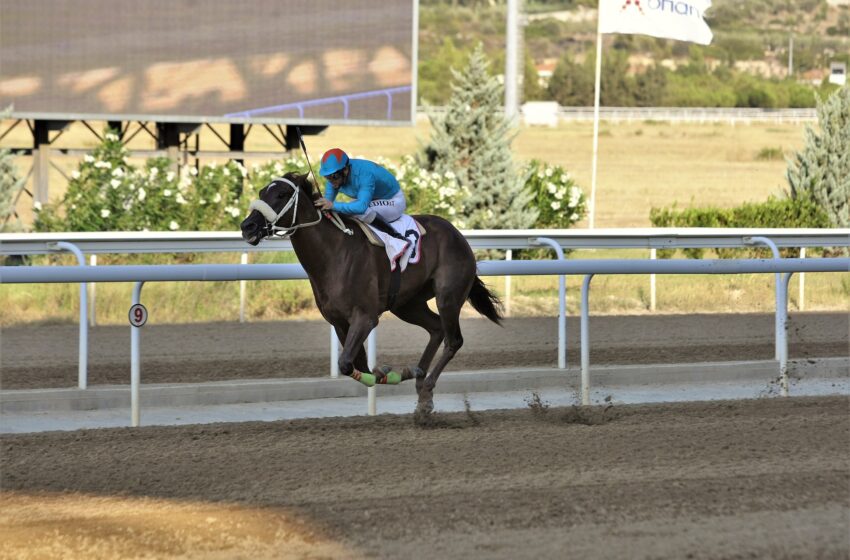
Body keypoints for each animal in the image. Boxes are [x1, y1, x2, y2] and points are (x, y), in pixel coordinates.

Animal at [238, 173, 500, 414]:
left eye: (281, 194)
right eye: (262, 192)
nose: (247, 226)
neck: (333, 254)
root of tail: (458, 235)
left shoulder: (365, 317)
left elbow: (346, 363)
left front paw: (387, 373)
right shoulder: (339, 322)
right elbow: (358, 365)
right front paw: (388, 372)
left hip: (448, 296)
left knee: (453, 340)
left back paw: (426, 388)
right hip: (407, 304)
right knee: (436, 328)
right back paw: (418, 379)